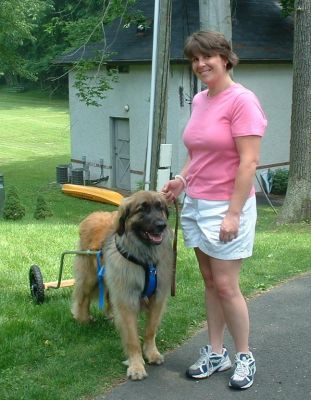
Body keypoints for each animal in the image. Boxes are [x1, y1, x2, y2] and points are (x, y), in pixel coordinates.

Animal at [71, 191, 174, 382]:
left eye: (160, 208)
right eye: (142, 209)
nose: (161, 226)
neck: (145, 260)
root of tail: (91, 216)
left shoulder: (157, 298)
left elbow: (150, 330)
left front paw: (151, 353)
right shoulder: (127, 299)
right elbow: (132, 338)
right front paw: (136, 365)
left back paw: (110, 316)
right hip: (90, 278)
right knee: (82, 298)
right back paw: (83, 319)